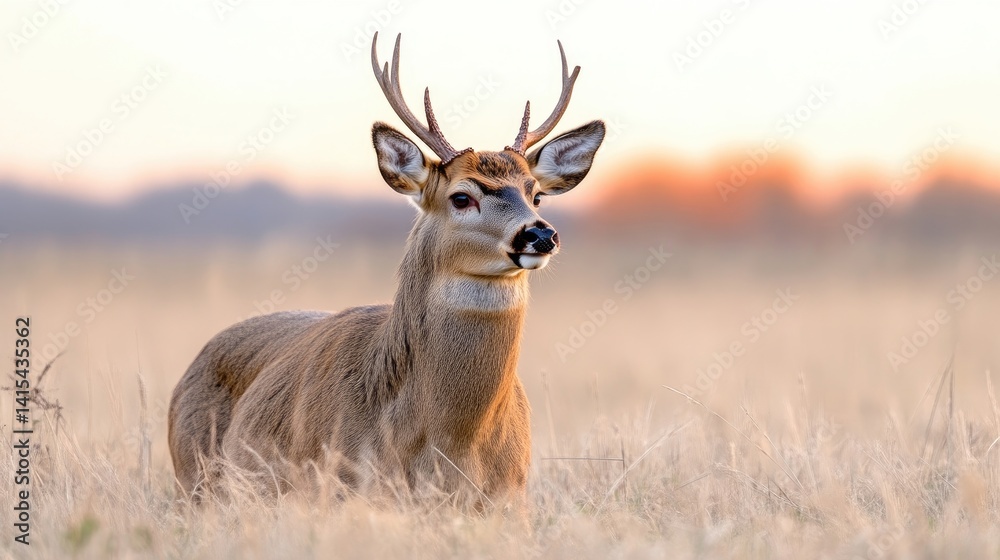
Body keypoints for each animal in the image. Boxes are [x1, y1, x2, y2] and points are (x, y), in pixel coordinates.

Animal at [168, 33, 605, 514]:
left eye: (536, 194)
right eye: (461, 197)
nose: (540, 234)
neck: (451, 443)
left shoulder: (514, 495)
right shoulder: (342, 487)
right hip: (195, 481)